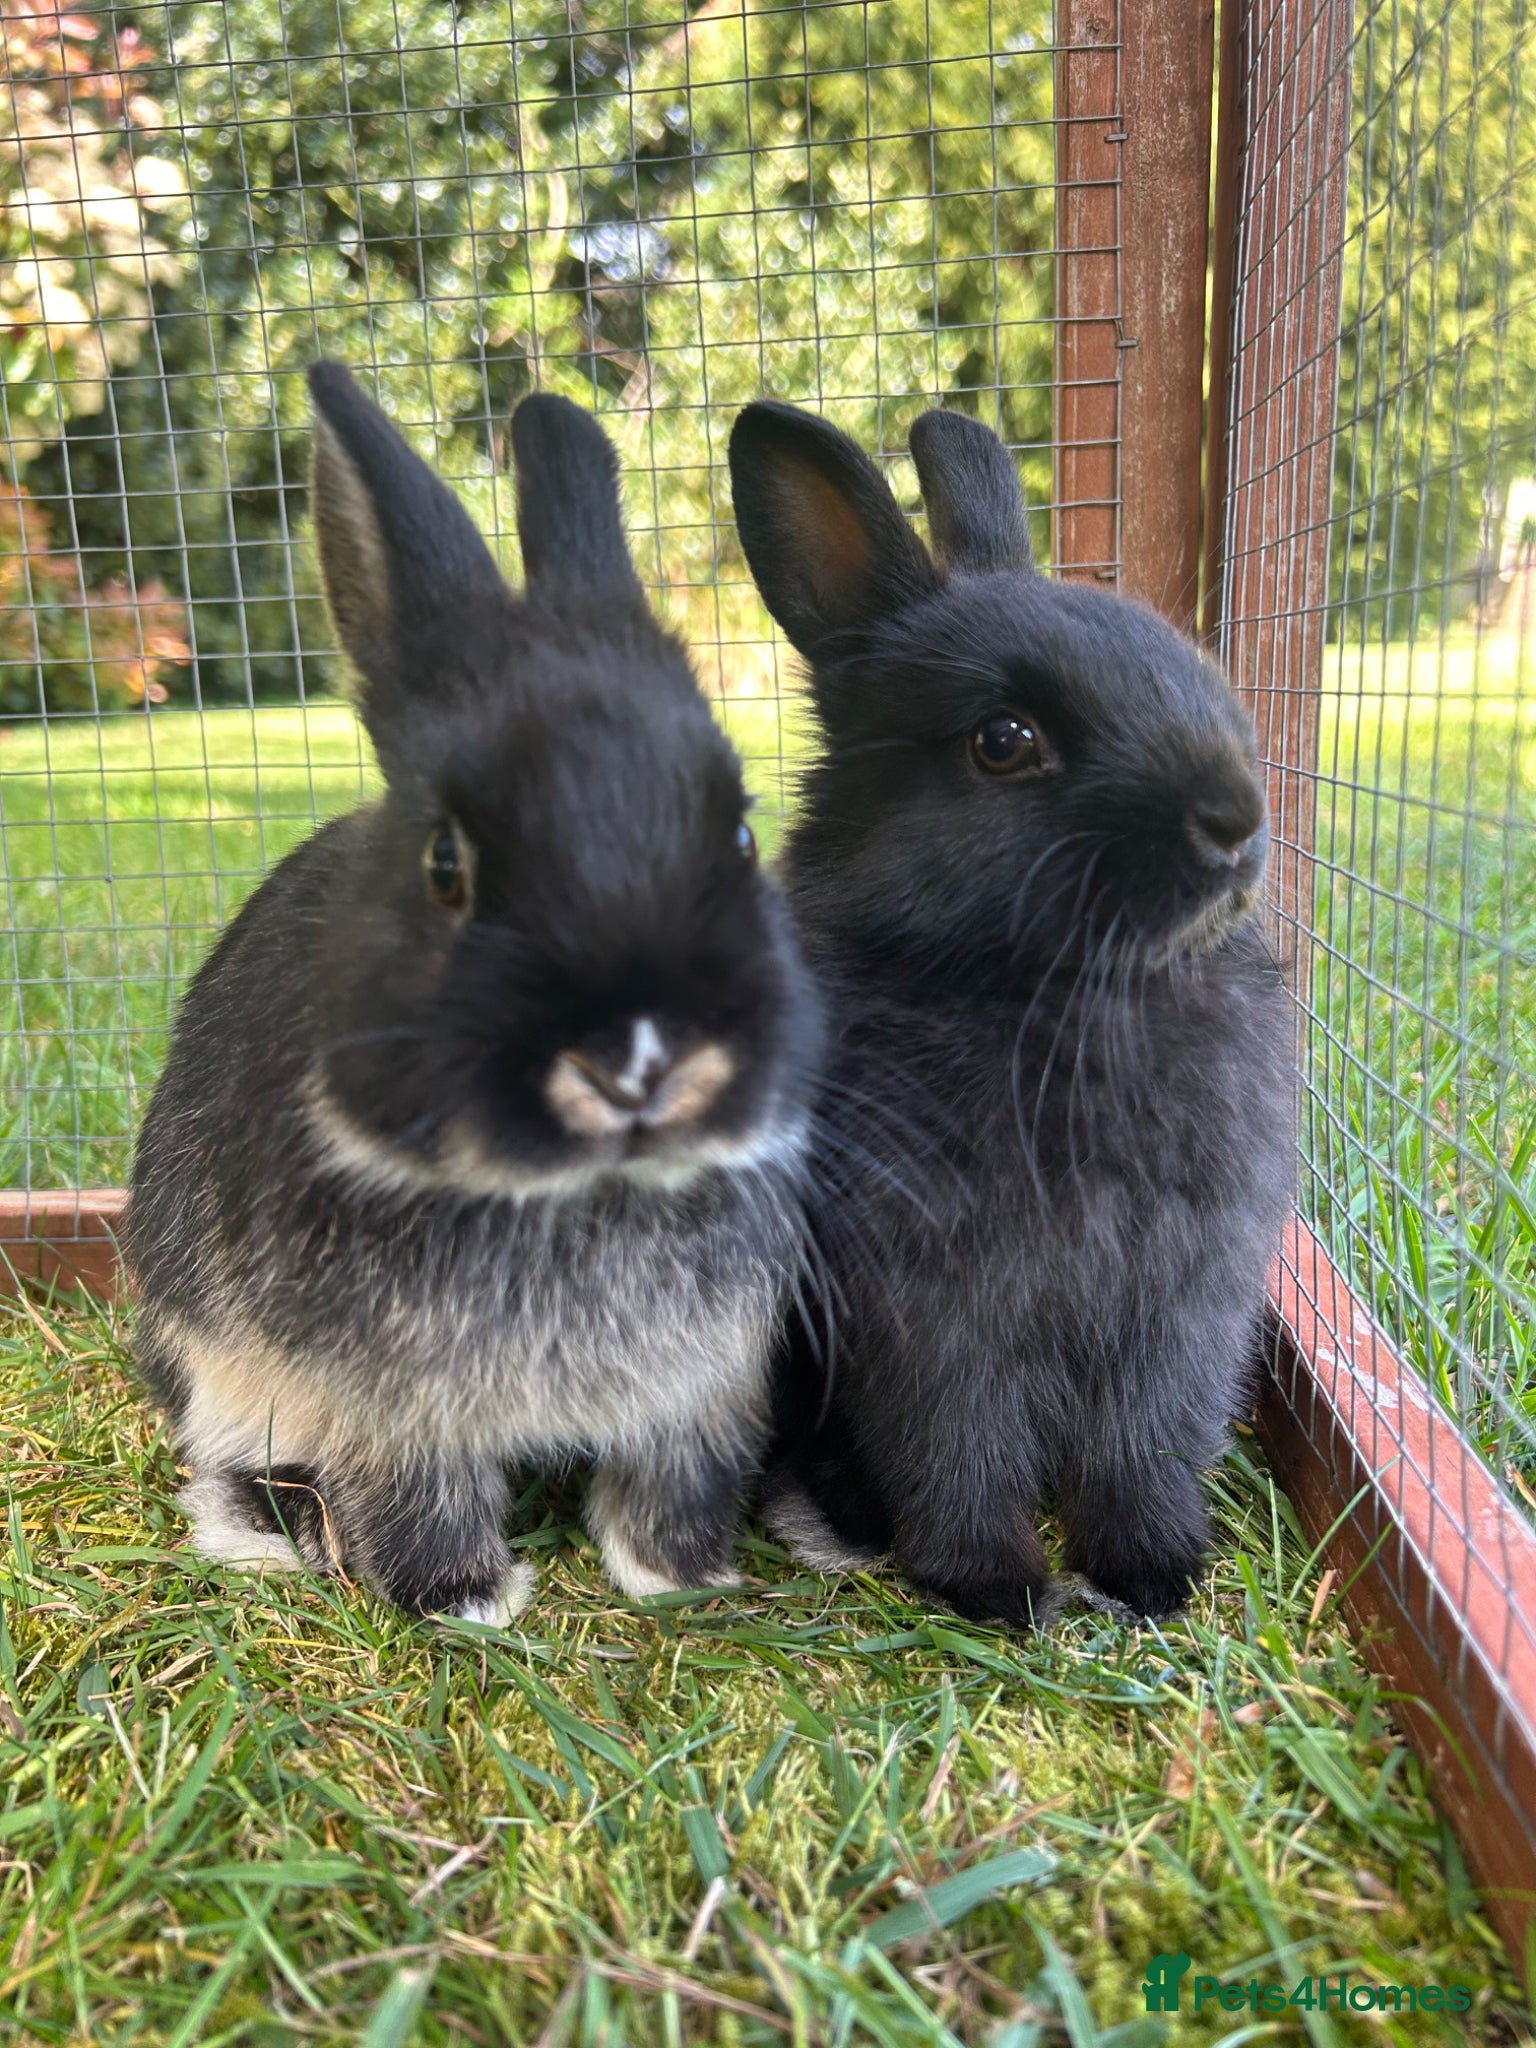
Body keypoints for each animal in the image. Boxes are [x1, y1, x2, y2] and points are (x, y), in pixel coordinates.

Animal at [124, 363, 822, 1625]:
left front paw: (673, 1575)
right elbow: (412, 1492)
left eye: (742, 834)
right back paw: (276, 1527)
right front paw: (467, 1599)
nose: (638, 1058)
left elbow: (671, 1479)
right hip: (214, 1353)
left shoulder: (704, 1386)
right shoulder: (384, 1403)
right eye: (447, 864)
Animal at [728, 400, 1295, 1626]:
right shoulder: (932, 1315)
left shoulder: (1181, 1303)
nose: (1236, 821)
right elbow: (958, 1444)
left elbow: (1144, 1443)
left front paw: (1151, 1572)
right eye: (1004, 740)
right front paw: (994, 1587)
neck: (1061, 996)